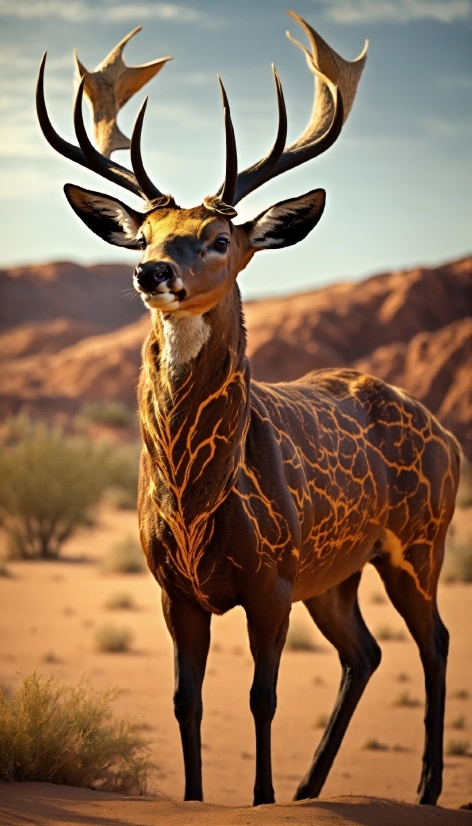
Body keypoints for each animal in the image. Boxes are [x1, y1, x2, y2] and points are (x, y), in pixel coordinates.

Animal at [37, 11, 460, 804]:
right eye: (145, 233)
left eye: (217, 237)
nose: (150, 271)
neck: (196, 499)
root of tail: (444, 430)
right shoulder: (176, 589)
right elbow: (186, 701)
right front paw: (200, 798)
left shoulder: (270, 582)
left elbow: (263, 699)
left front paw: (260, 797)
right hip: (337, 571)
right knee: (364, 653)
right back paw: (310, 789)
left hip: (419, 540)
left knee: (436, 641)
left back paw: (422, 792)